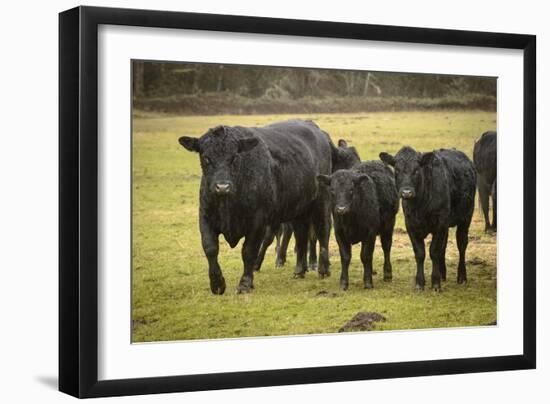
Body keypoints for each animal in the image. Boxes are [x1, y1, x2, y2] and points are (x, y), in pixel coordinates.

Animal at [181, 120, 334, 294]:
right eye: (206, 158)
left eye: (234, 157)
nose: (222, 187)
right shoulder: (205, 218)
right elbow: (210, 248)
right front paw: (217, 283)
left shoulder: (257, 223)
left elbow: (249, 252)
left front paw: (245, 284)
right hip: (298, 209)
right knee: (301, 235)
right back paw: (299, 270)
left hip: (322, 201)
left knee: (323, 230)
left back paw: (323, 269)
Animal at [316, 161, 398, 290]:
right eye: (332, 190)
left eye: (351, 190)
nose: (341, 209)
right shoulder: (339, 233)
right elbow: (345, 257)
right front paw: (344, 282)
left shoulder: (370, 233)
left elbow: (365, 256)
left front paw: (368, 282)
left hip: (388, 226)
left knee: (386, 247)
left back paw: (387, 274)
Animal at [382, 147, 476, 292]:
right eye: (397, 170)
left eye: (416, 170)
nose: (406, 192)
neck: (420, 205)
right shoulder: (411, 225)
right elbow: (420, 253)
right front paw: (420, 282)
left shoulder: (439, 224)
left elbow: (434, 251)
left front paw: (435, 283)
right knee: (444, 246)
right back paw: (442, 274)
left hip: (466, 218)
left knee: (462, 244)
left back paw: (461, 276)